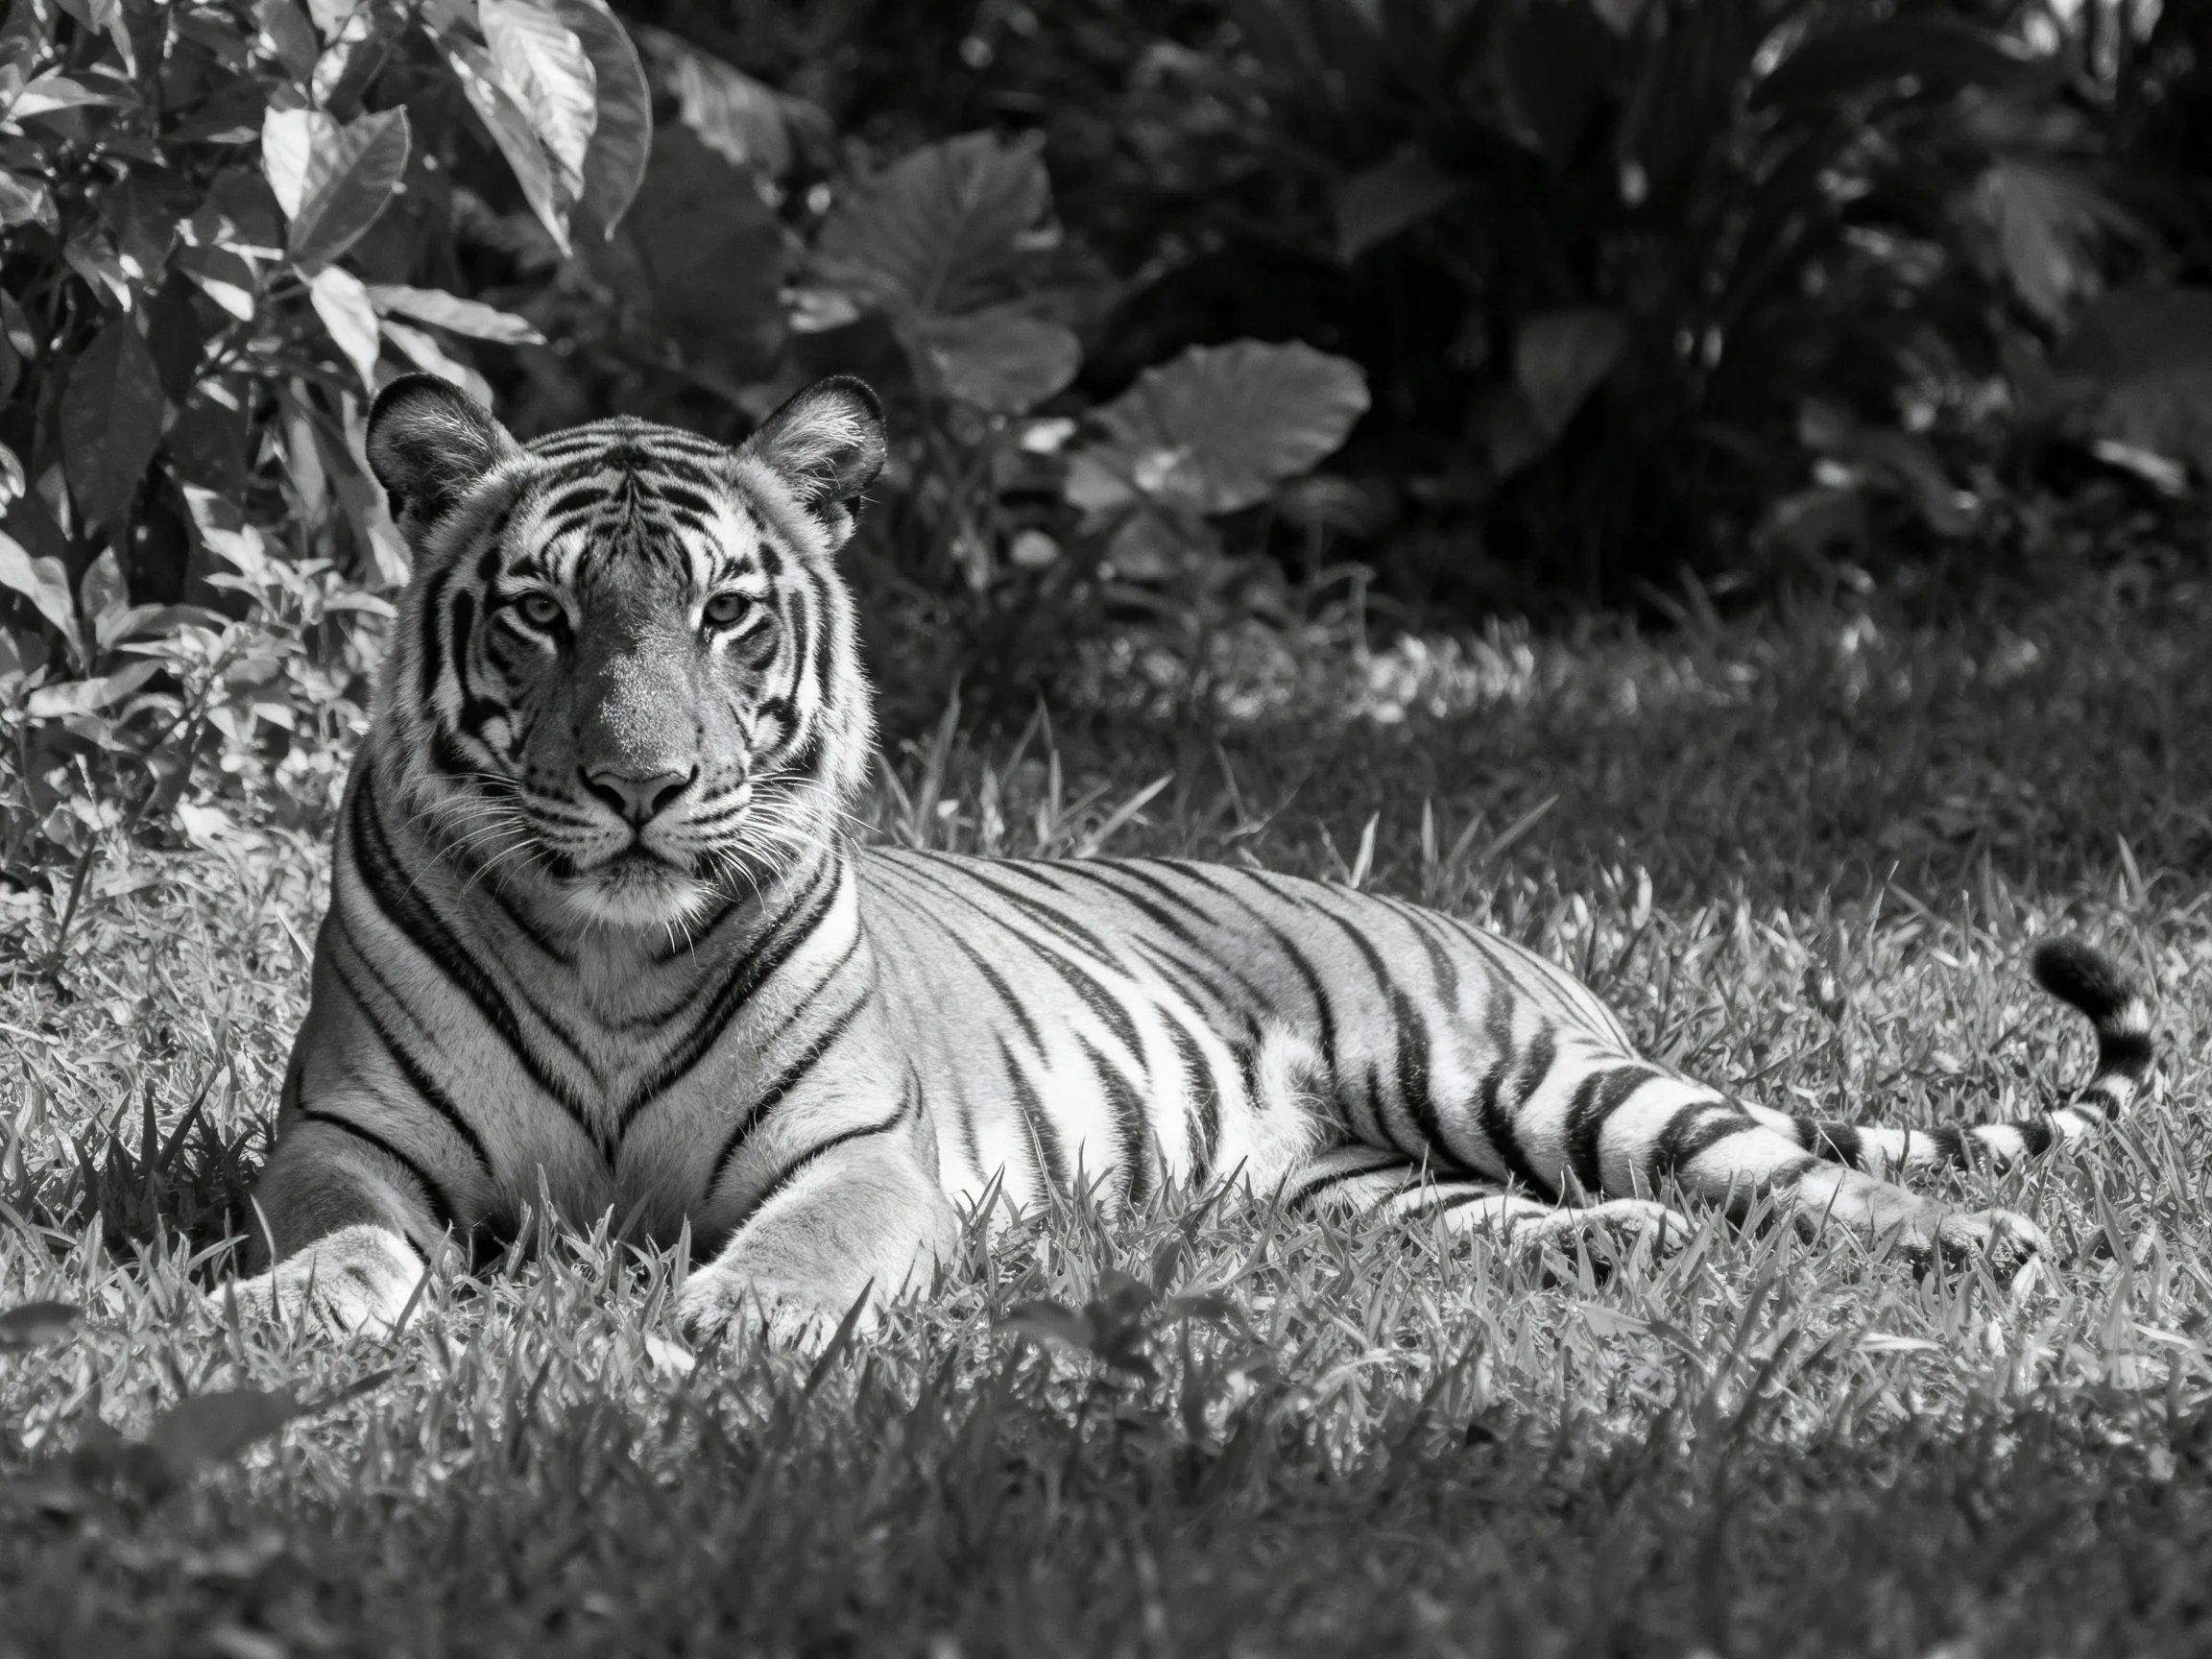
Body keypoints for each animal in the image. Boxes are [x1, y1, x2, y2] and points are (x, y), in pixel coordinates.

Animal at [206, 371, 2156, 1342]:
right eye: (541, 614)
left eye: (727, 614)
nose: (638, 785)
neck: (613, 941)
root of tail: (1508, 942)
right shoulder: (352, 1137)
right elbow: (342, 1234)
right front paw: (294, 1307)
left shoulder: (855, 1156)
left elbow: (802, 1245)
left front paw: (734, 1322)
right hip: (1350, 1181)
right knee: (1548, 1214)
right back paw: (1619, 1252)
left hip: (1518, 1073)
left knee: (1793, 1168)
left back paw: (1976, 1243)